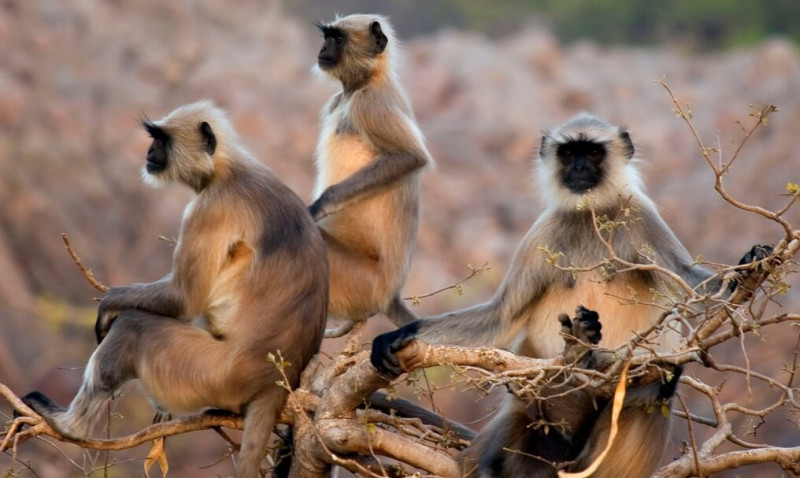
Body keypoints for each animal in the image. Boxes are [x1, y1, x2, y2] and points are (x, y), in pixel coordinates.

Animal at [21, 100, 329, 478]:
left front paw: (109, 305)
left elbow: (183, 300)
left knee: (135, 325)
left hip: (211, 373)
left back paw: (70, 426)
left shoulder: (210, 208)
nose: (149, 153)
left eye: (161, 140)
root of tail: (273, 381)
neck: (225, 169)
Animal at [311, 13, 433, 337]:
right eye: (327, 37)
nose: (322, 49)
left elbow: (411, 156)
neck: (363, 84)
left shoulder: (370, 105)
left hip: (359, 282)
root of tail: (390, 294)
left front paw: (316, 208)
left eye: (338, 39)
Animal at [371, 113, 771, 477]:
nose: (578, 167)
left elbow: (696, 288)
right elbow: (500, 317)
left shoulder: (640, 216)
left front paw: (749, 264)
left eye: (592, 152)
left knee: (664, 376)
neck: (590, 213)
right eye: (567, 153)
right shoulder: (543, 233)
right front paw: (396, 337)